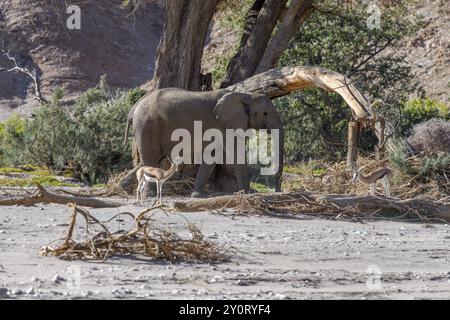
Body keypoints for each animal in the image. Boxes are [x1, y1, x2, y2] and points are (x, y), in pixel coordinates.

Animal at [124, 87, 284, 198]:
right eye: (265, 113)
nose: (278, 190)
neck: (245, 95)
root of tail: (134, 107)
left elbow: (212, 154)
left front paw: (199, 195)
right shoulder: (225, 123)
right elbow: (235, 152)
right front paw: (247, 193)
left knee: (150, 159)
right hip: (147, 125)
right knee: (150, 157)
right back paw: (149, 195)